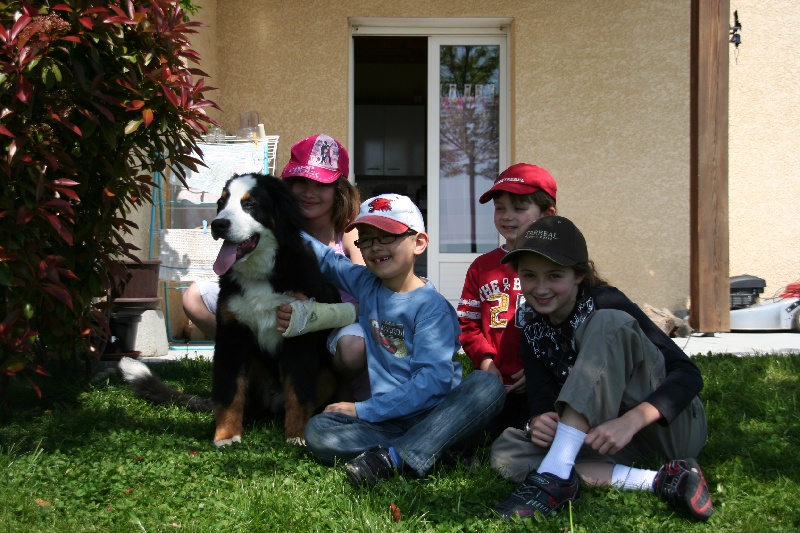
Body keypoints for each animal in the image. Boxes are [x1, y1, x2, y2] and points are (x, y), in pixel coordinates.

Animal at [119, 173, 340, 446]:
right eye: (221, 202)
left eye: (250, 204)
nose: (218, 225)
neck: (259, 275)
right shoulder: (231, 334)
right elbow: (229, 391)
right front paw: (226, 435)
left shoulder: (299, 336)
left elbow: (298, 393)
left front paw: (296, 436)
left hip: (328, 376)